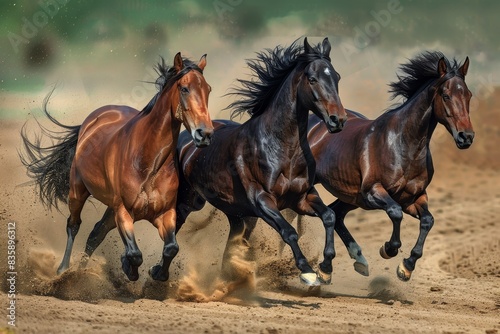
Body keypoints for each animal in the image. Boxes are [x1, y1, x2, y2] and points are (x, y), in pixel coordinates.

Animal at [20, 52, 213, 282]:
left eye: (208, 89)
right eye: (184, 88)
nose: (205, 134)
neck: (149, 165)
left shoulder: (165, 213)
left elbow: (171, 248)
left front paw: (157, 272)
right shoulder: (123, 211)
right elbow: (134, 253)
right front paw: (128, 267)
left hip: (109, 207)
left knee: (96, 234)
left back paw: (81, 272)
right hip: (78, 191)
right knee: (74, 225)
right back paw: (63, 270)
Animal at [276, 51, 474, 282]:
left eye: (468, 95)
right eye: (446, 95)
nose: (466, 137)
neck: (403, 144)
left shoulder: (413, 197)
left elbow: (428, 220)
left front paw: (406, 266)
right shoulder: (374, 192)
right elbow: (395, 213)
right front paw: (388, 249)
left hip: (351, 197)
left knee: (336, 214)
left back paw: (355, 261)